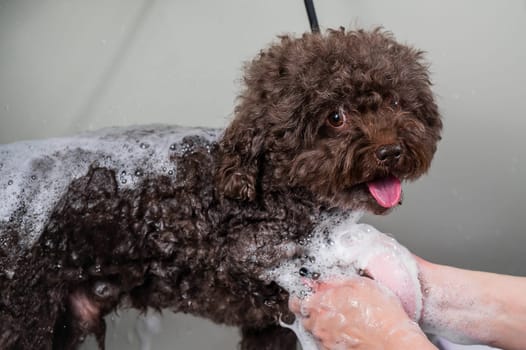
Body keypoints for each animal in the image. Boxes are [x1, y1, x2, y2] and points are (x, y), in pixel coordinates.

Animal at [0, 28, 444, 350]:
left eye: (396, 102)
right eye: (335, 117)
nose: (391, 151)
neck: (278, 196)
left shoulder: (268, 326)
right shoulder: (258, 275)